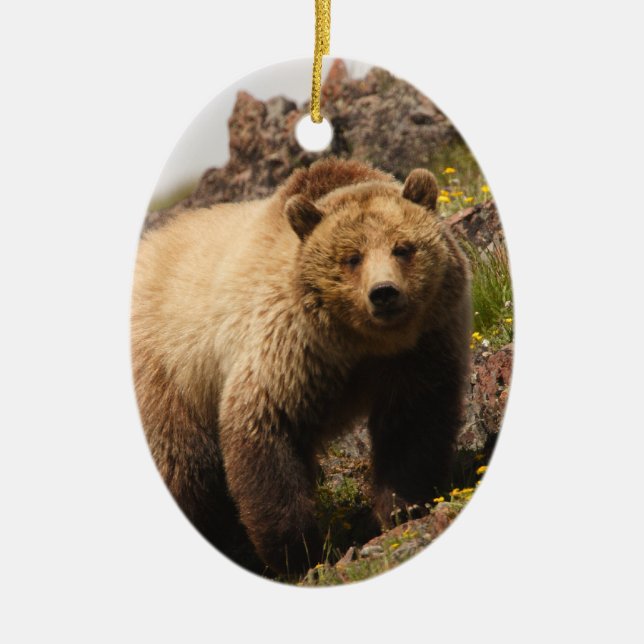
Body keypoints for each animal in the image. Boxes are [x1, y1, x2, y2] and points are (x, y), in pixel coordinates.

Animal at [131, 158, 471, 576]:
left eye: (403, 248)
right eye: (352, 257)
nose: (384, 293)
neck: (360, 342)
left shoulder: (419, 349)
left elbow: (413, 423)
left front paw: (401, 508)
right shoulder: (289, 348)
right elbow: (265, 429)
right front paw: (298, 552)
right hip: (168, 377)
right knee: (185, 465)